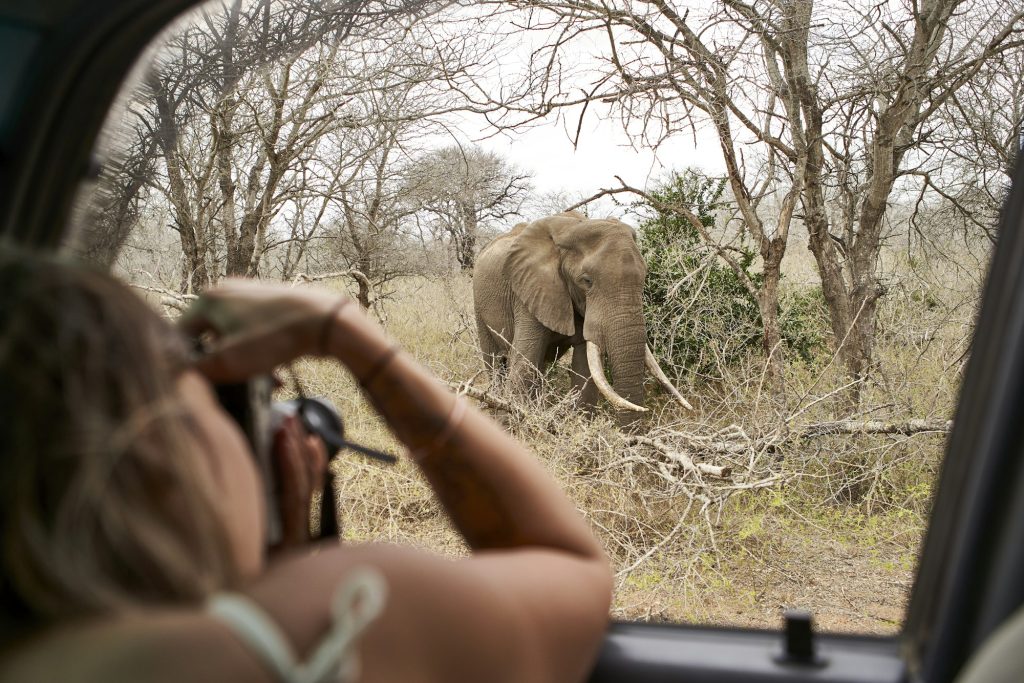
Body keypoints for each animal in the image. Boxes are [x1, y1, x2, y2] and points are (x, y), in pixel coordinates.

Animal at [471, 209, 688, 421]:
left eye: (645, 276)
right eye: (586, 281)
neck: (571, 229)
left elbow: (585, 372)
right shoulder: (529, 291)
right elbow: (525, 363)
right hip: (478, 304)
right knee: (494, 362)